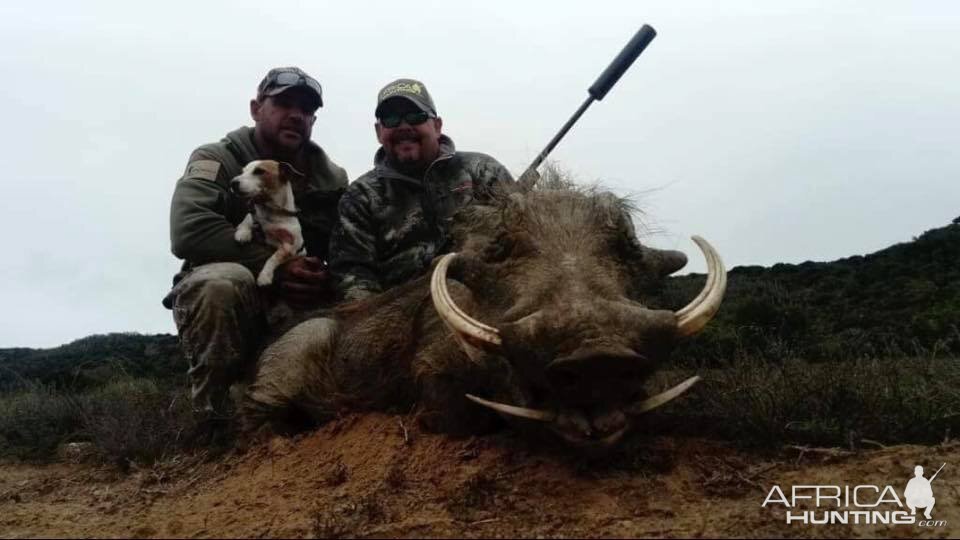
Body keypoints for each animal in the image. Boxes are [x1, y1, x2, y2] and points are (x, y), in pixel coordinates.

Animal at [231, 158, 306, 286]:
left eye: (259, 171)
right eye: (243, 171)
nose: (232, 183)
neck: (271, 213)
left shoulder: (288, 247)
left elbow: (272, 258)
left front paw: (265, 276)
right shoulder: (253, 216)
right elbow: (246, 220)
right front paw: (243, 233)